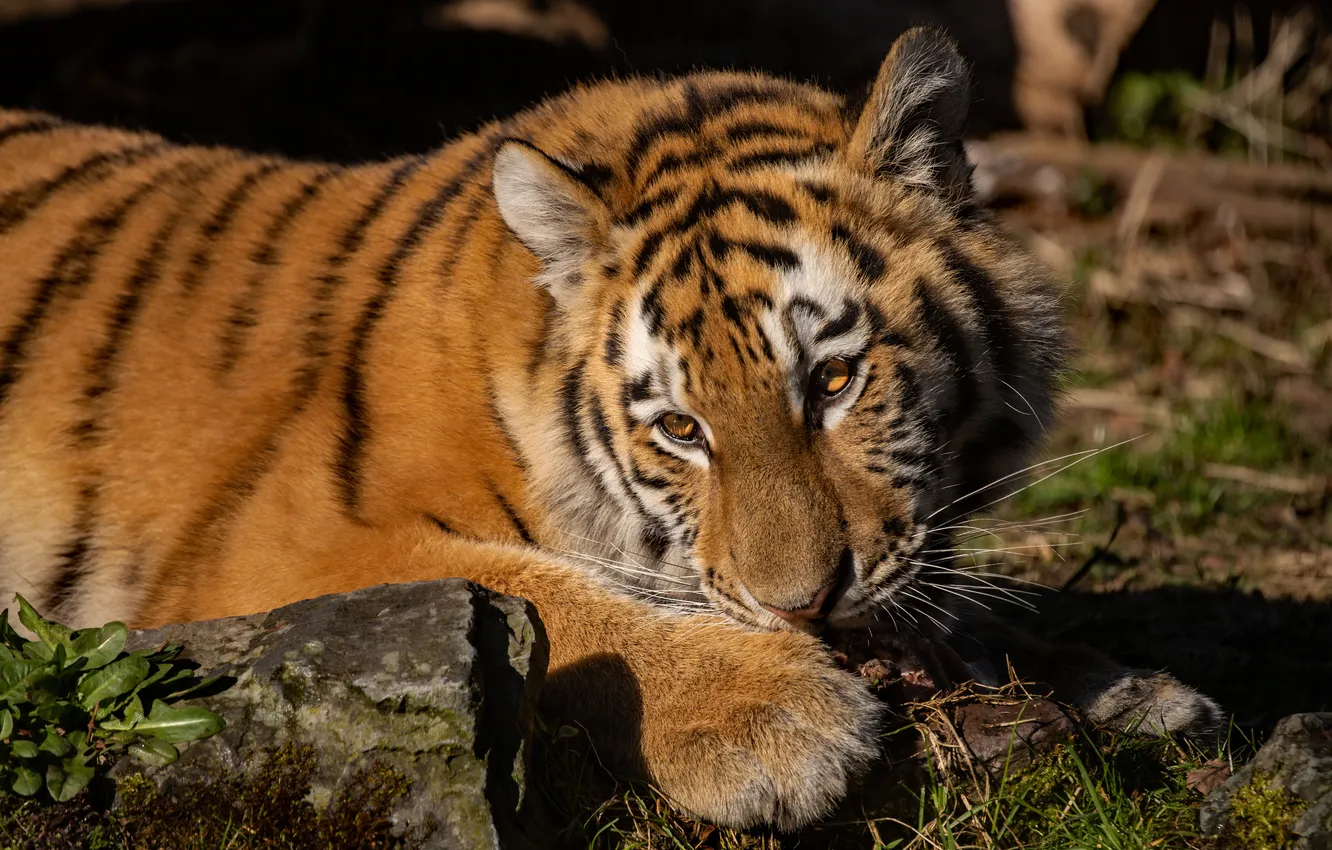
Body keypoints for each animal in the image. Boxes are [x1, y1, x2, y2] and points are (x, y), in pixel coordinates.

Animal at [0, 27, 1219, 830]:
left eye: (832, 380)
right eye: (681, 428)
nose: (802, 608)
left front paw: (1131, 691)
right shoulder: (280, 545)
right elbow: (557, 600)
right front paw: (777, 718)